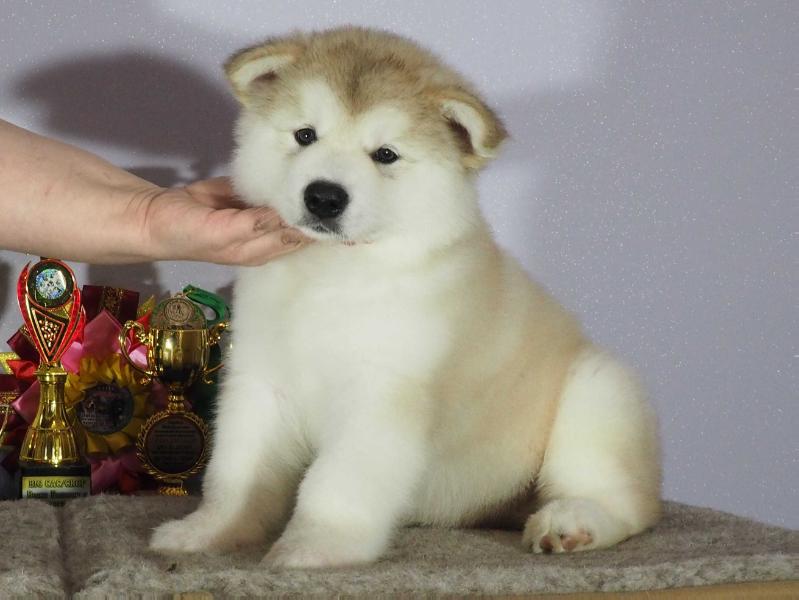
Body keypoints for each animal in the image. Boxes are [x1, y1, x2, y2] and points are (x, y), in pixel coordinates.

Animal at [152, 24, 664, 568]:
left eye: (385, 155)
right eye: (305, 135)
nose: (324, 196)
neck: (335, 274)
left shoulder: (382, 394)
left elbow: (333, 484)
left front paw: (315, 547)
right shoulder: (260, 382)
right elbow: (235, 475)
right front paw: (206, 532)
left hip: (596, 392)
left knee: (626, 501)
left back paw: (570, 523)